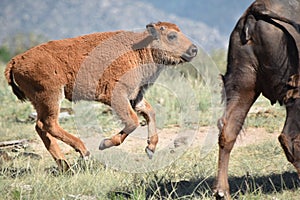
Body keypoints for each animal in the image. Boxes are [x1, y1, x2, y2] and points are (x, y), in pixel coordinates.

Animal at [5, 22, 197, 172]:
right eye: (171, 35)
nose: (193, 49)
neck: (140, 49)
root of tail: (16, 60)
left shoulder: (135, 97)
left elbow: (149, 113)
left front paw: (150, 148)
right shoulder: (117, 95)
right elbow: (133, 121)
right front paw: (104, 143)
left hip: (41, 101)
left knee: (40, 126)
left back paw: (65, 165)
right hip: (51, 96)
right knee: (49, 124)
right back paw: (83, 151)